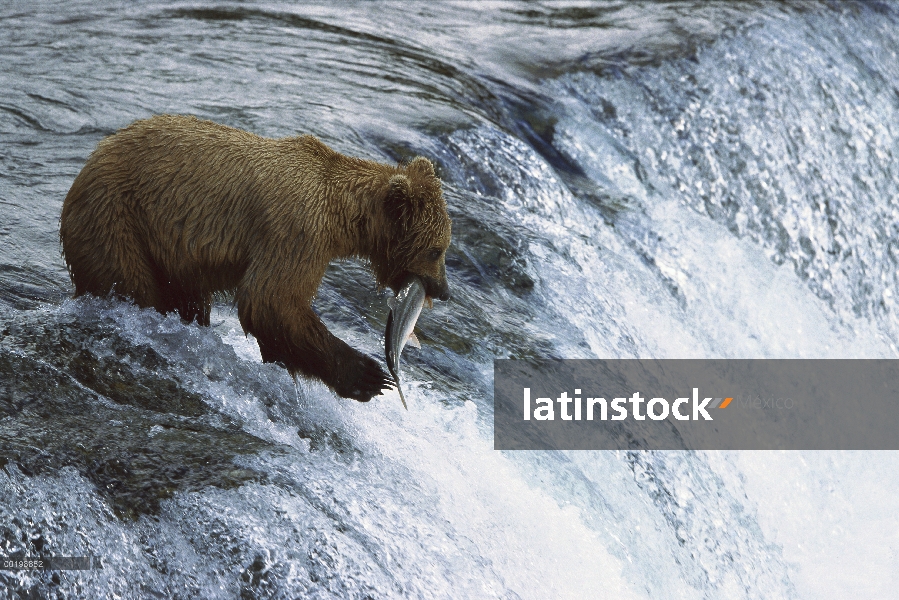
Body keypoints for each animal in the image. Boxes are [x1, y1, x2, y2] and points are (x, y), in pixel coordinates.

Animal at [59, 112, 450, 404]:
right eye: (437, 250)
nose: (443, 290)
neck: (341, 217)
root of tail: (92, 157)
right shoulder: (296, 232)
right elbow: (271, 300)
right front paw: (368, 375)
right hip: (116, 219)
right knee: (130, 283)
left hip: (170, 254)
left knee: (187, 299)